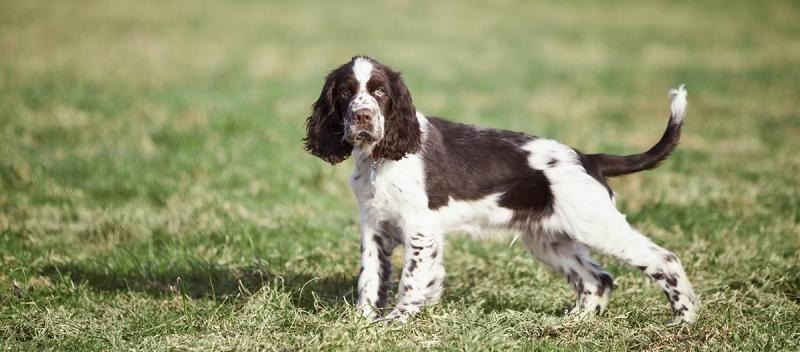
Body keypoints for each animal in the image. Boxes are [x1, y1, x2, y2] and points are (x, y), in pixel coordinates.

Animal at [304, 56, 696, 324]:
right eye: (345, 92)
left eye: (380, 91)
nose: (363, 117)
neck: (380, 157)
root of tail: (587, 158)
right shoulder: (374, 225)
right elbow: (370, 277)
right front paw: (361, 321)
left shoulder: (420, 228)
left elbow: (411, 280)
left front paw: (396, 322)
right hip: (549, 239)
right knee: (597, 278)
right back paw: (576, 322)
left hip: (596, 224)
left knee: (664, 260)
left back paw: (684, 319)